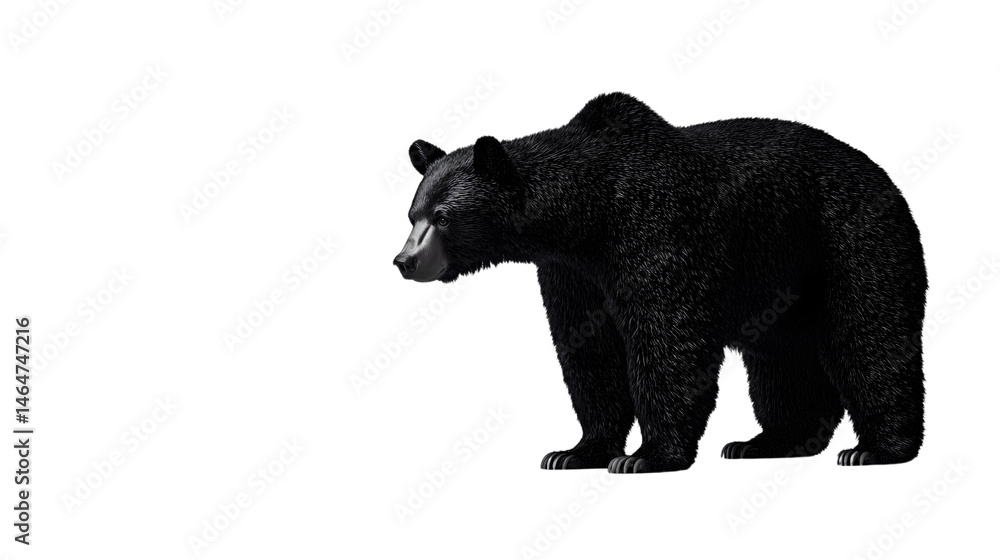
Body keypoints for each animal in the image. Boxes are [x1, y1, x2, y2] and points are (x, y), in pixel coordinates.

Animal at [393, 92, 927, 473]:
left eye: (443, 217)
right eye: (413, 213)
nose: (404, 260)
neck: (587, 217)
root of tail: (886, 178)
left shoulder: (656, 230)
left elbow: (668, 340)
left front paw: (645, 456)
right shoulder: (572, 273)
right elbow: (589, 352)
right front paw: (576, 451)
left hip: (849, 242)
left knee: (869, 337)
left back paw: (875, 449)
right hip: (777, 280)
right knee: (782, 360)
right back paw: (770, 442)